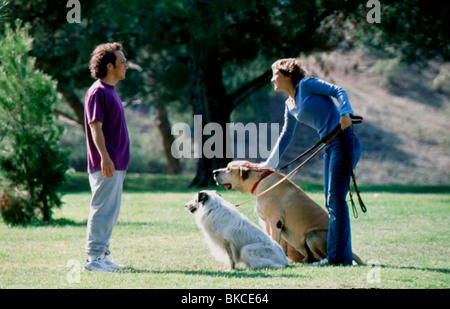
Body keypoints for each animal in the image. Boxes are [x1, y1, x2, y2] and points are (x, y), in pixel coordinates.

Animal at [213, 160, 364, 264]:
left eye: (228, 169)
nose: (214, 172)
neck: (261, 180)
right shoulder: (274, 225)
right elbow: (280, 244)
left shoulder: (275, 221)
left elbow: (275, 240)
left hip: (312, 236)